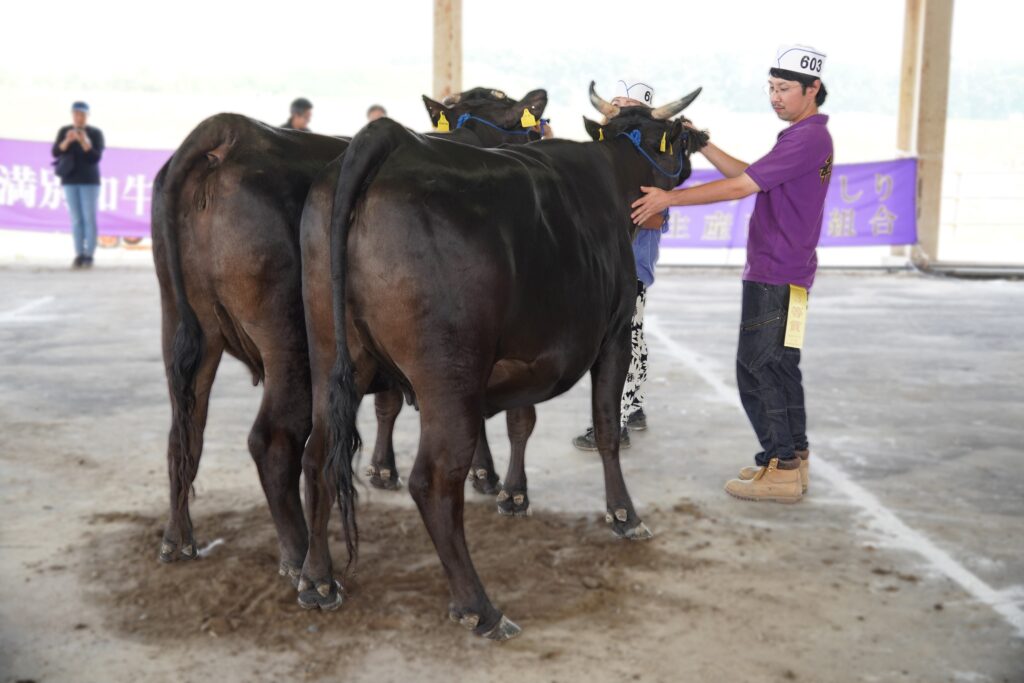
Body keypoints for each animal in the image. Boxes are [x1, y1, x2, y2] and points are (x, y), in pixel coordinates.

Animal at [301, 82, 704, 638]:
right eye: (679, 133)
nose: (702, 137)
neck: (612, 174)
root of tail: (387, 138)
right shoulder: (616, 333)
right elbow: (605, 427)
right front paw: (624, 515)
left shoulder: (525, 353)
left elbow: (520, 421)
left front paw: (512, 493)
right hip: (450, 371)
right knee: (432, 480)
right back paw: (480, 607)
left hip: (330, 355)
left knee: (318, 454)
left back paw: (317, 580)